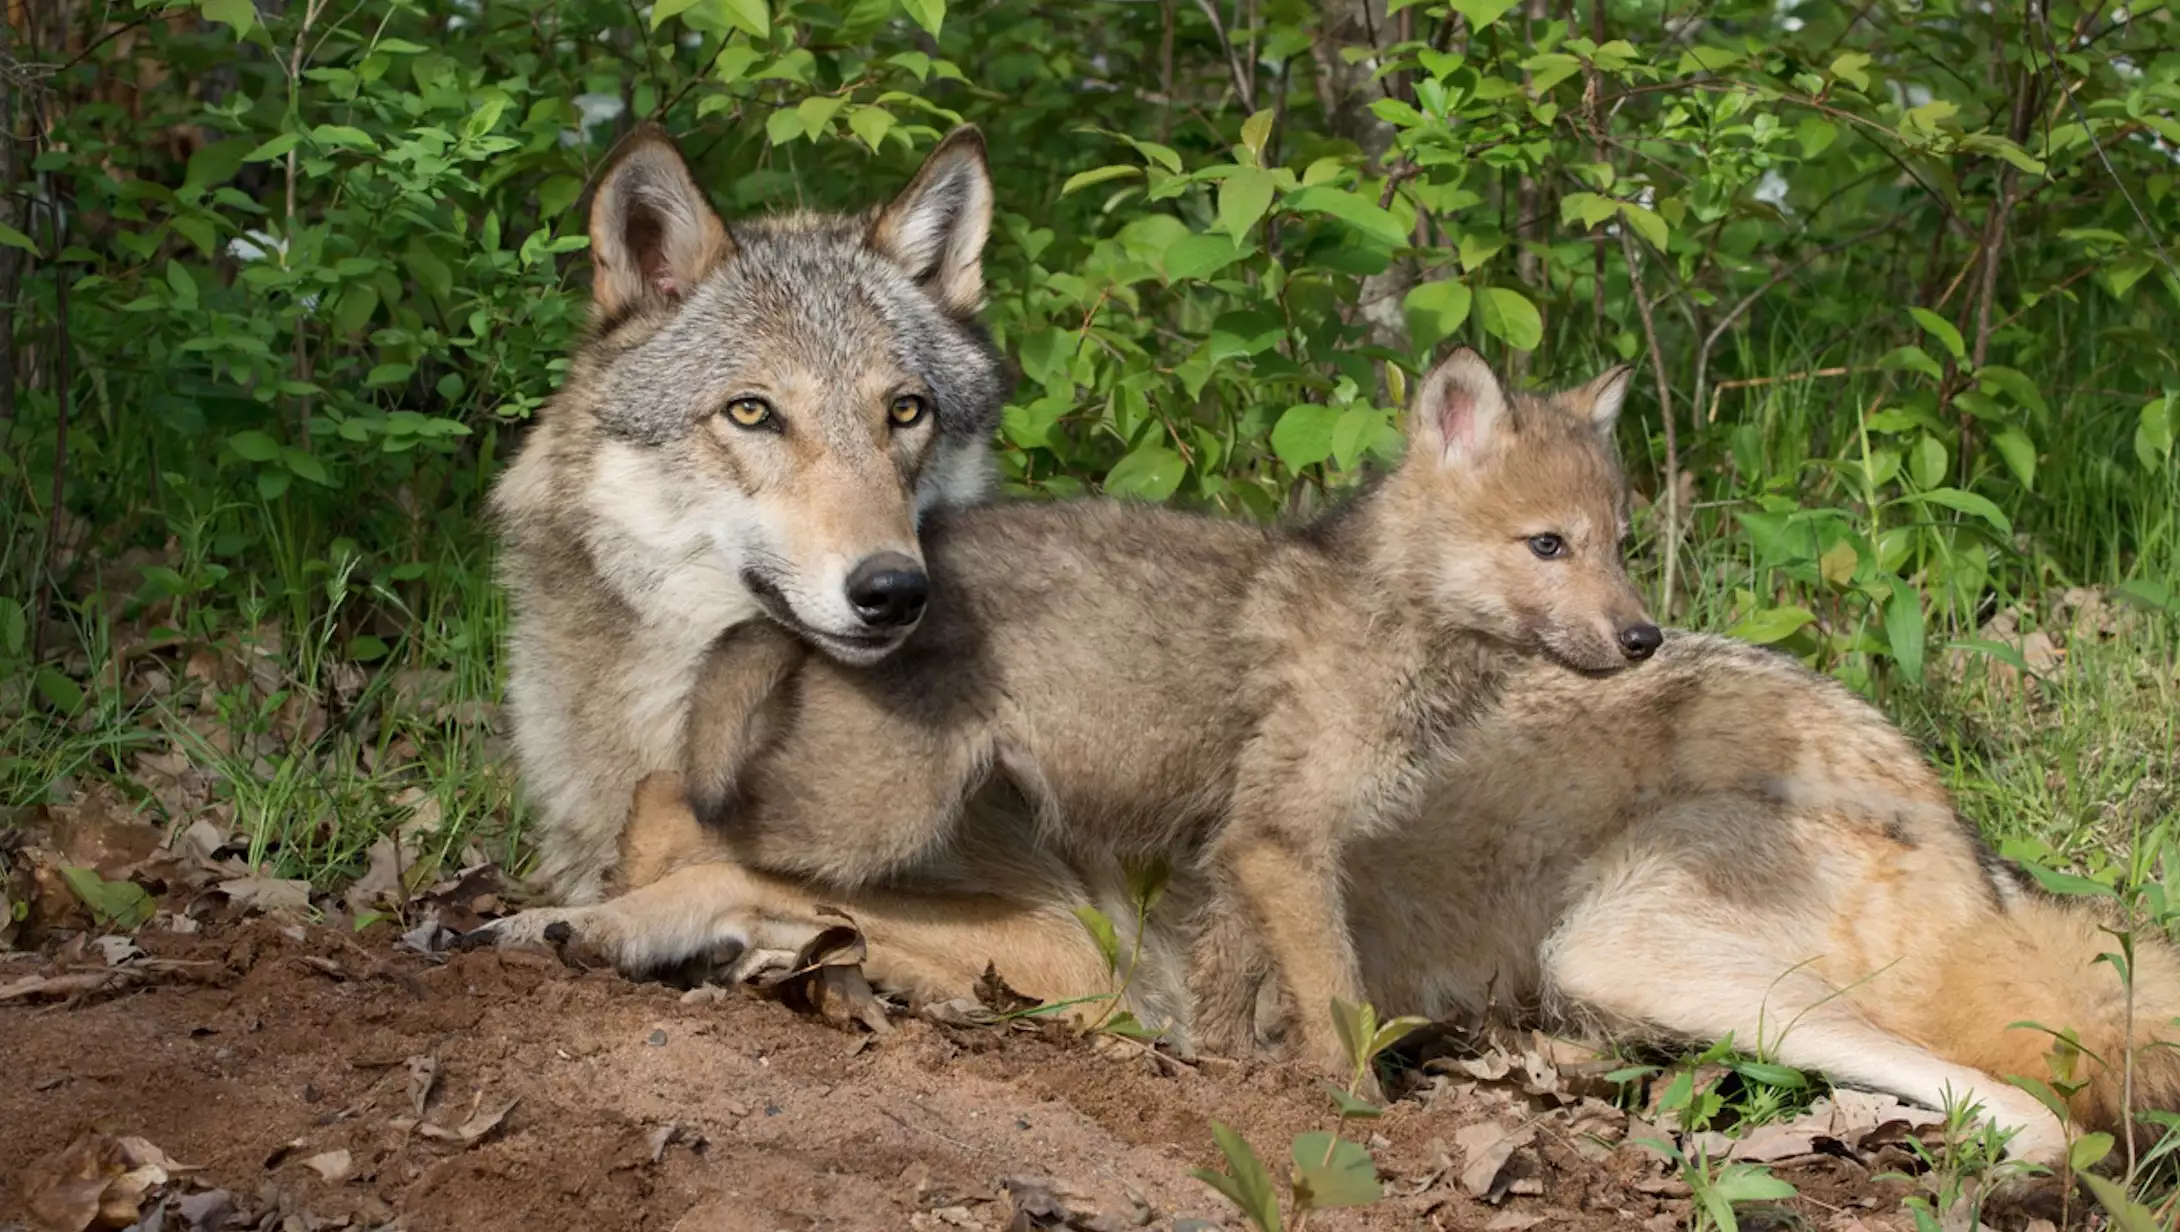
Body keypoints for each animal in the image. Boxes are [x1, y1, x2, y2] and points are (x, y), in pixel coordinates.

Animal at [481, 347, 1663, 1083]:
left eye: (1618, 543)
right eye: (1546, 546)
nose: (1645, 637)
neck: (1394, 618)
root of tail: (833, 603)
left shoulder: (1238, 848)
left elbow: (1232, 991)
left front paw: (1225, 1075)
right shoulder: (1285, 844)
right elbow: (1338, 1002)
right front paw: (1354, 1109)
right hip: (871, 818)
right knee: (666, 798)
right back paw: (583, 920)